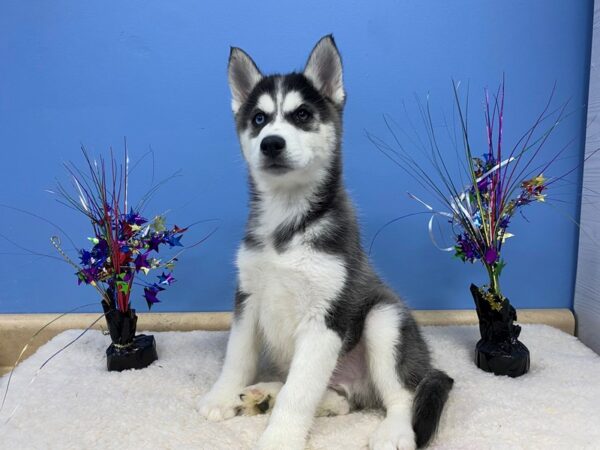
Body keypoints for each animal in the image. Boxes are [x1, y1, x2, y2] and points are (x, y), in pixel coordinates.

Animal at [199, 35, 452, 450]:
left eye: (302, 115)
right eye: (259, 119)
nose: (271, 144)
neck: (286, 219)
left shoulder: (326, 318)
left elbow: (299, 393)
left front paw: (280, 439)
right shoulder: (248, 297)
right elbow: (237, 355)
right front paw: (221, 396)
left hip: (385, 319)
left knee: (401, 393)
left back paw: (394, 431)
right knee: (337, 398)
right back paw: (265, 393)